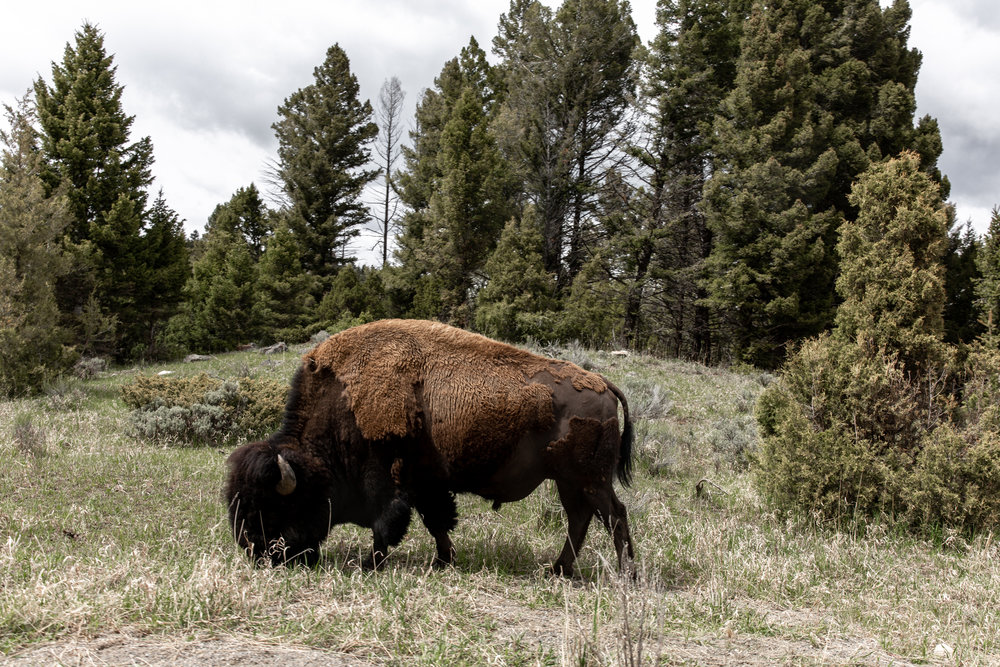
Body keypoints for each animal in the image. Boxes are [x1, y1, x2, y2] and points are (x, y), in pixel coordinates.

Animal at [225, 318, 632, 576]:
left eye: (272, 506)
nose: (255, 551)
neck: (343, 400)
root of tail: (603, 383)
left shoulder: (390, 481)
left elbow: (389, 523)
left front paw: (371, 564)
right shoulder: (425, 483)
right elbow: (436, 521)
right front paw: (443, 560)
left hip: (589, 479)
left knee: (613, 515)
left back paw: (626, 574)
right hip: (569, 481)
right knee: (580, 518)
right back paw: (558, 570)